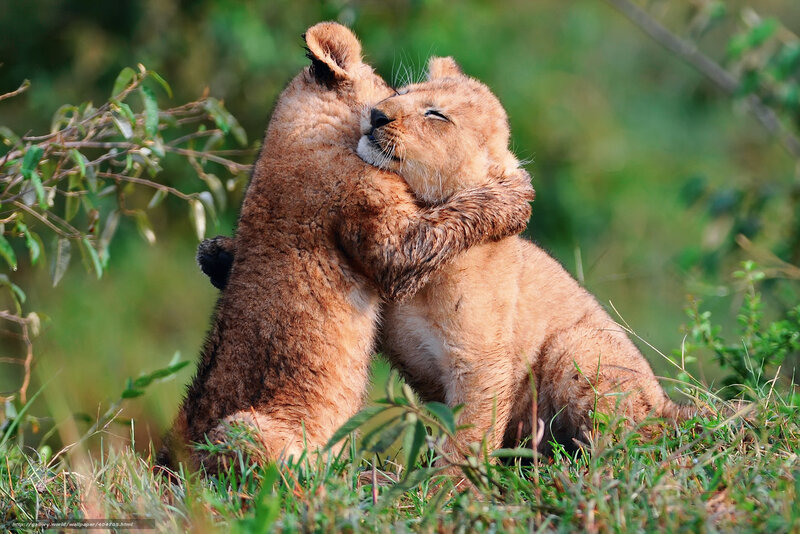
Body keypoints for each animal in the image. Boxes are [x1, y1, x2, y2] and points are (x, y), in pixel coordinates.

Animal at [159, 24, 534, 472]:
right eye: (395, 90)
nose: (380, 115)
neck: (296, 127)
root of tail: (171, 468)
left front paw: (217, 254)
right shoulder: (391, 240)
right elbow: (454, 217)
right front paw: (515, 196)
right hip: (241, 429)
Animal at [196, 55, 693, 466]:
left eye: (437, 115)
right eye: (401, 92)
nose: (376, 114)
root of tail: (669, 404)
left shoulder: (480, 361)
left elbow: (469, 437)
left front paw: (443, 489)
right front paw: (219, 253)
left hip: (577, 347)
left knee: (621, 445)